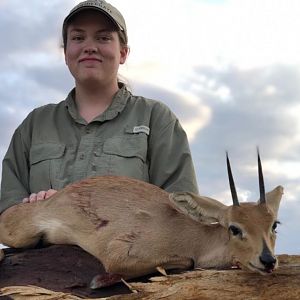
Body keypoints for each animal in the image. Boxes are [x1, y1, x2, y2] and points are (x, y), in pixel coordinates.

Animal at [0, 152, 282, 288]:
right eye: (234, 228)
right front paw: (99, 281)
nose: (268, 260)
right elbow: (184, 261)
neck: (195, 237)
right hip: (19, 233)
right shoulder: (117, 253)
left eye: (274, 225)